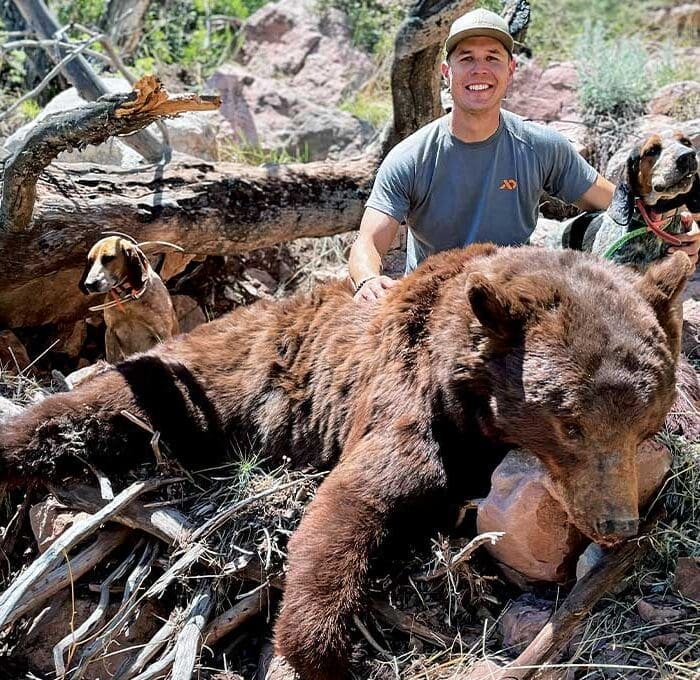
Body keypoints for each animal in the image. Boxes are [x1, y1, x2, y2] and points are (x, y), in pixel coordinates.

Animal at [0, 244, 691, 679]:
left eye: (644, 423)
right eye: (571, 424)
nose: (616, 525)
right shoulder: (406, 390)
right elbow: (359, 496)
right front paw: (321, 648)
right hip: (222, 373)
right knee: (112, 397)